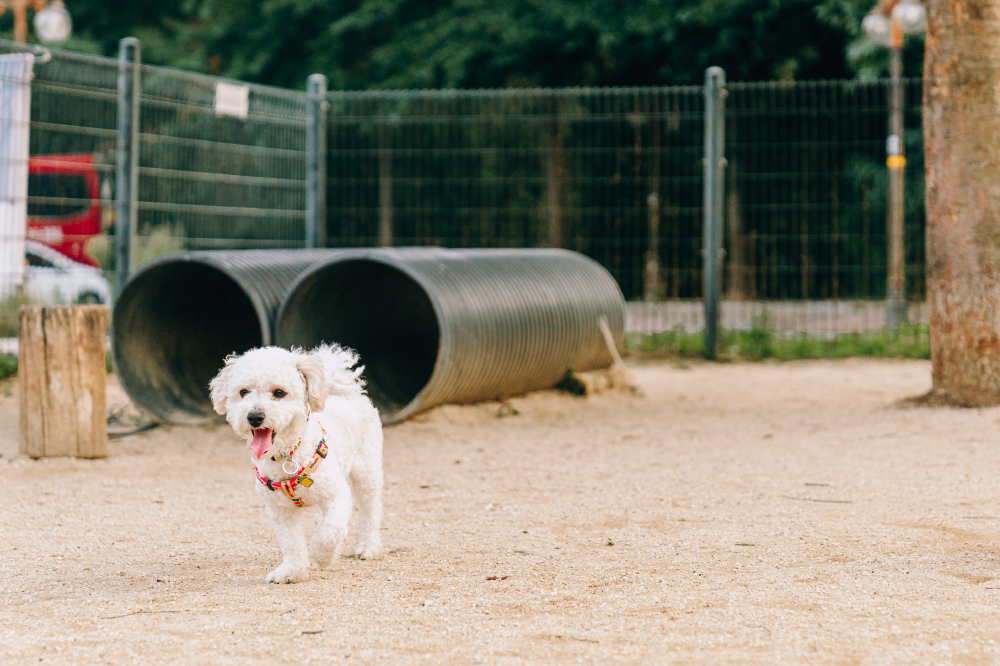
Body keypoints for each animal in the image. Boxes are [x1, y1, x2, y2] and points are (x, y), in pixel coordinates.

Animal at [209, 342, 384, 580]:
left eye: (279, 393)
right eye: (243, 392)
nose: (254, 417)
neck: (288, 455)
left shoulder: (336, 495)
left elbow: (330, 531)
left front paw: (321, 556)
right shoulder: (280, 511)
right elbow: (292, 543)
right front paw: (292, 571)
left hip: (367, 471)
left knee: (370, 509)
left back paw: (367, 547)